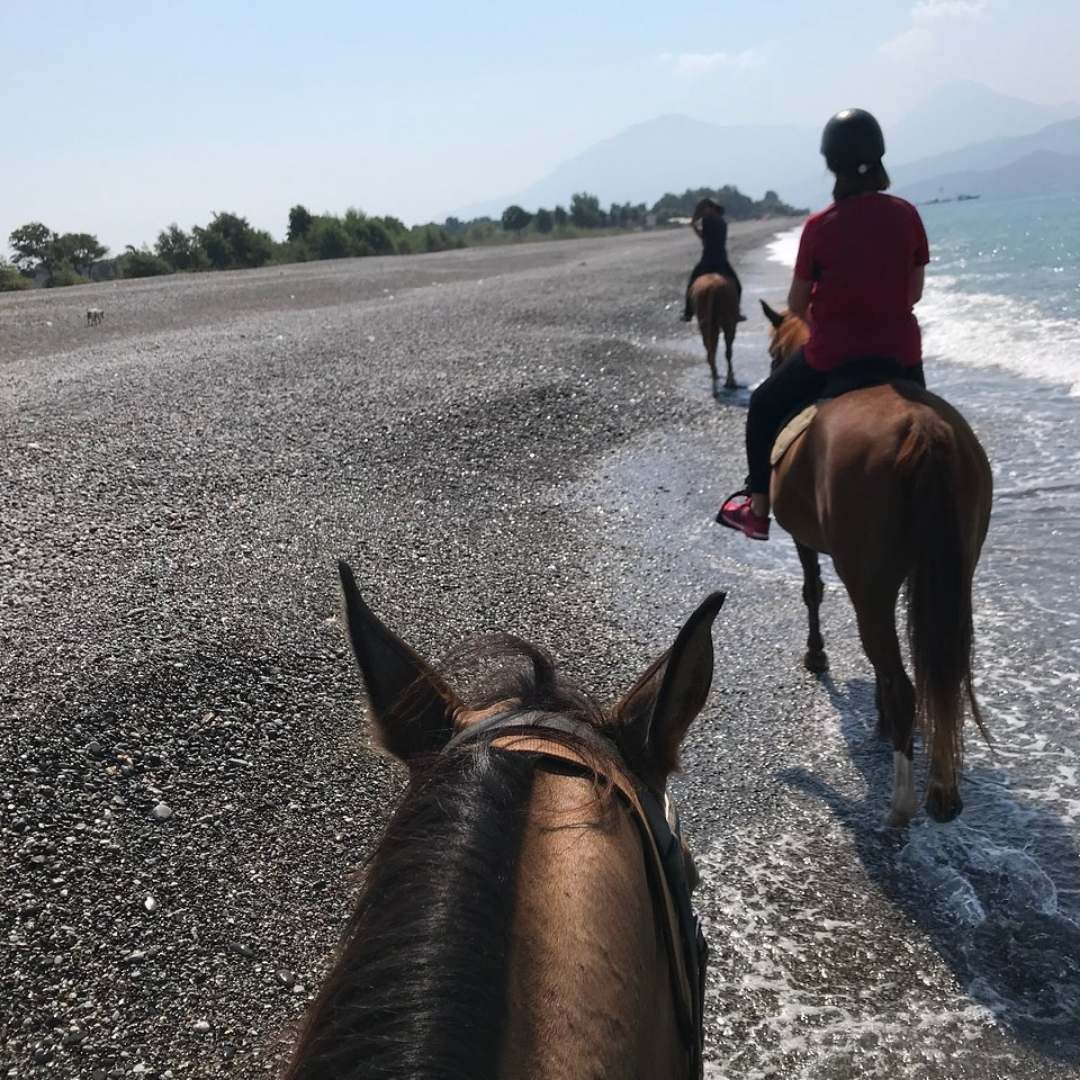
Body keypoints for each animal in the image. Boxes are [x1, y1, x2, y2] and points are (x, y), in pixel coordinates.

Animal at [756, 304, 989, 825]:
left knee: (905, 685)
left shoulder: (804, 540)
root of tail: (923, 426)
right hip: (954, 572)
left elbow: (812, 591)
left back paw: (899, 807)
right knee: (943, 672)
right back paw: (942, 791)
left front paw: (817, 655)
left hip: (868, 582)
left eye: (773, 352)